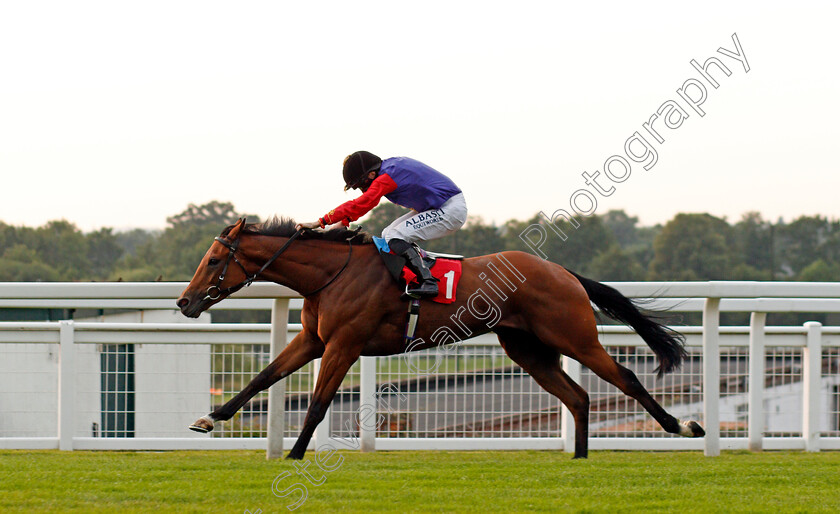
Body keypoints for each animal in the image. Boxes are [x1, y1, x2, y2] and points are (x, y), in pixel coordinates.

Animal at [176, 216, 704, 456]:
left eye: (214, 260)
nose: (184, 302)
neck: (331, 274)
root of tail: (562, 271)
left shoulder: (344, 344)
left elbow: (320, 401)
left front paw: (296, 452)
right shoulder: (313, 340)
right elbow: (263, 378)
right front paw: (209, 418)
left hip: (576, 338)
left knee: (625, 380)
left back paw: (683, 427)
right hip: (529, 350)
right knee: (577, 396)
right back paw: (578, 457)